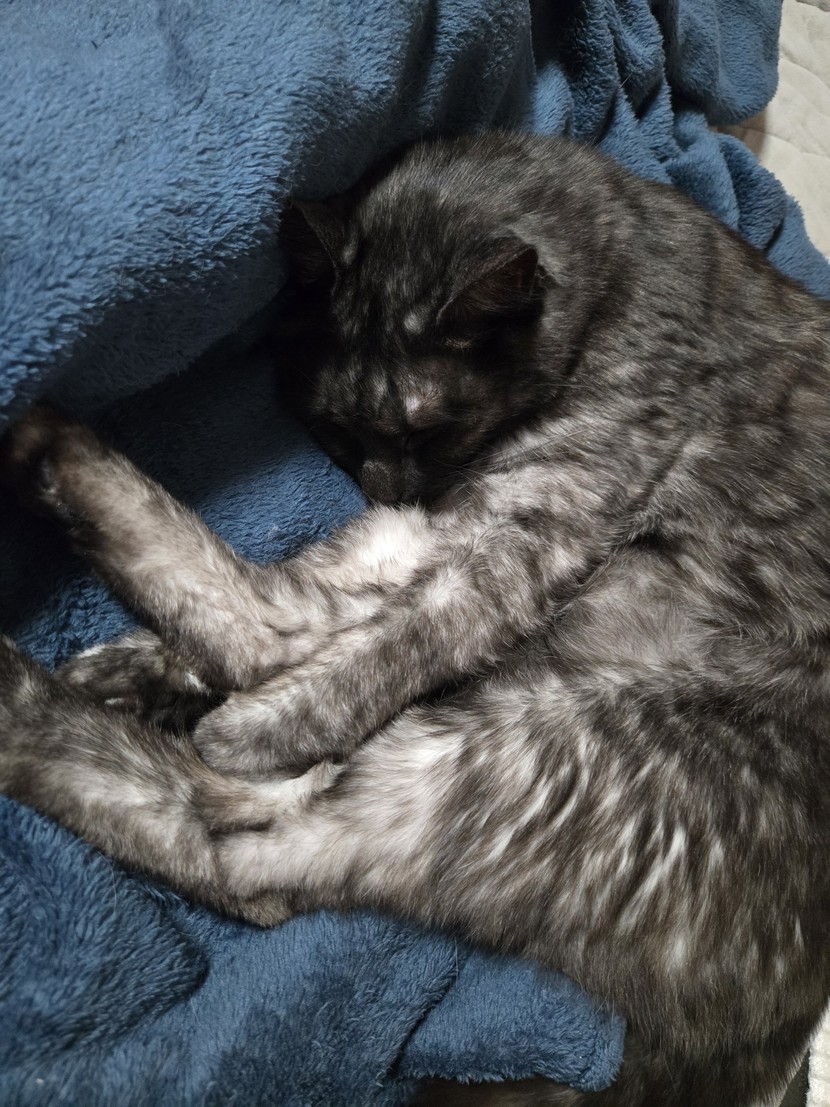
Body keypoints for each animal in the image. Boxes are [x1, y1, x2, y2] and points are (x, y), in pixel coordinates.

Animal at [1, 132, 829, 1107]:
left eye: (429, 425)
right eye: (335, 425)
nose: (384, 483)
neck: (622, 266)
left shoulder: (546, 515)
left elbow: (397, 635)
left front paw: (247, 719)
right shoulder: (470, 515)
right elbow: (343, 616)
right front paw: (136, 669)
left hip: (545, 748)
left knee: (247, 802)